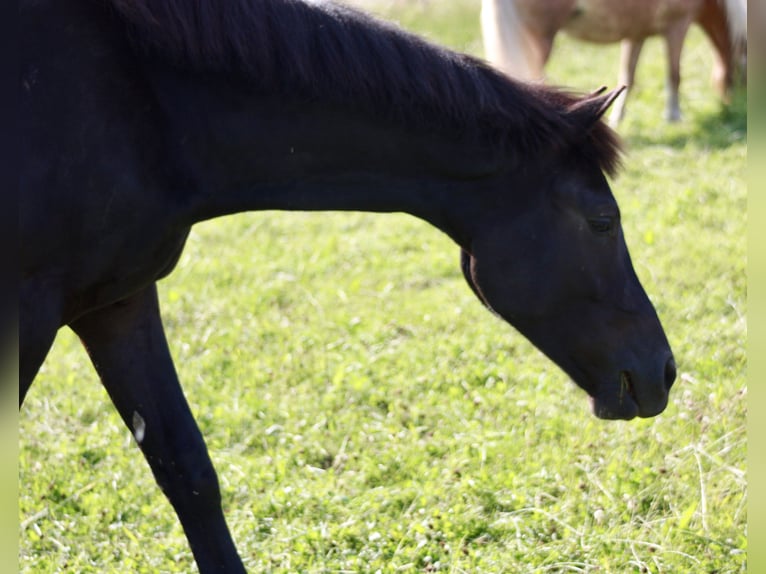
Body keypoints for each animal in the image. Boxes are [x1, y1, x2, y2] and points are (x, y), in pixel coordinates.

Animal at [19, 2, 680, 572]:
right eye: (603, 221)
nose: (664, 371)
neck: (141, 105)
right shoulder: (27, 319)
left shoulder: (119, 301)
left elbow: (187, 470)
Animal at [484, 0, 748, 125]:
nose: (734, 105)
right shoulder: (677, 26)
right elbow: (674, 74)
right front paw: (673, 116)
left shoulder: (636, 34)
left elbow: (627, 75)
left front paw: (617, 117)